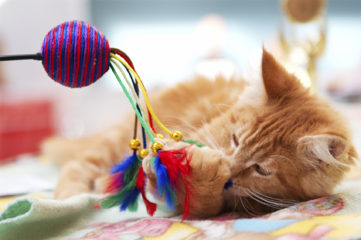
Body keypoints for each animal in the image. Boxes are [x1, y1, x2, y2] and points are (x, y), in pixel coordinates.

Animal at [40, 50, 356, 218]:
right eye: (235, 139)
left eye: (262, 170)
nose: (230, 168)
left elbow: (202, 202)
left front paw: (202, 175)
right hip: (113, 143)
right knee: (78, 166)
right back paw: (70, 199)